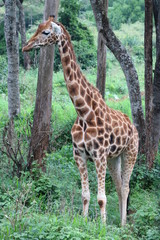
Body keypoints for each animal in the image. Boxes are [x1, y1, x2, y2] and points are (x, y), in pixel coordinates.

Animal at [22, 15, 139, 226]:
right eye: (37, 27)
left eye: (46, 32)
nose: (25, 46)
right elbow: (85, 195)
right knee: (119, 187)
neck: (84, 112)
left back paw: (123, 225)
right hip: (114, 157)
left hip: (131, 152)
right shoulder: (79, 155)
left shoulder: (99, 155)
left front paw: (102, 227)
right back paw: (120, 224)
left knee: (126, 188)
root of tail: (133, 127)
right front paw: (84, 223)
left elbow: (101, 198)